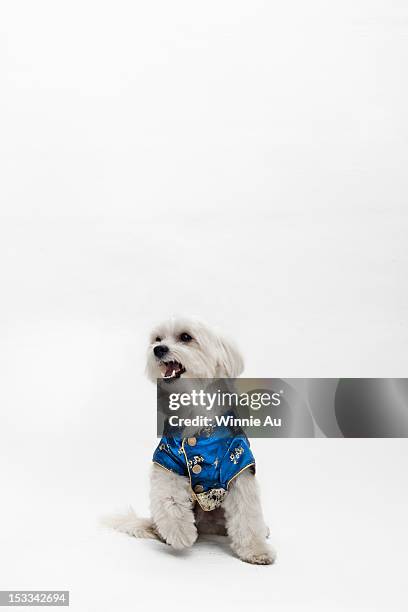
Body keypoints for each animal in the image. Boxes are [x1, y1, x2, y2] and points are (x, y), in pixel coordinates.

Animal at [107, 318, 276, 568]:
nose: (158, 349)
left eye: (186, 337)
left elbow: (247, 513)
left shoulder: (239, 465)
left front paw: (256, 550)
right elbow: (169, 497)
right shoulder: (168, 460)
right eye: (157, 339)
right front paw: (180, 533)